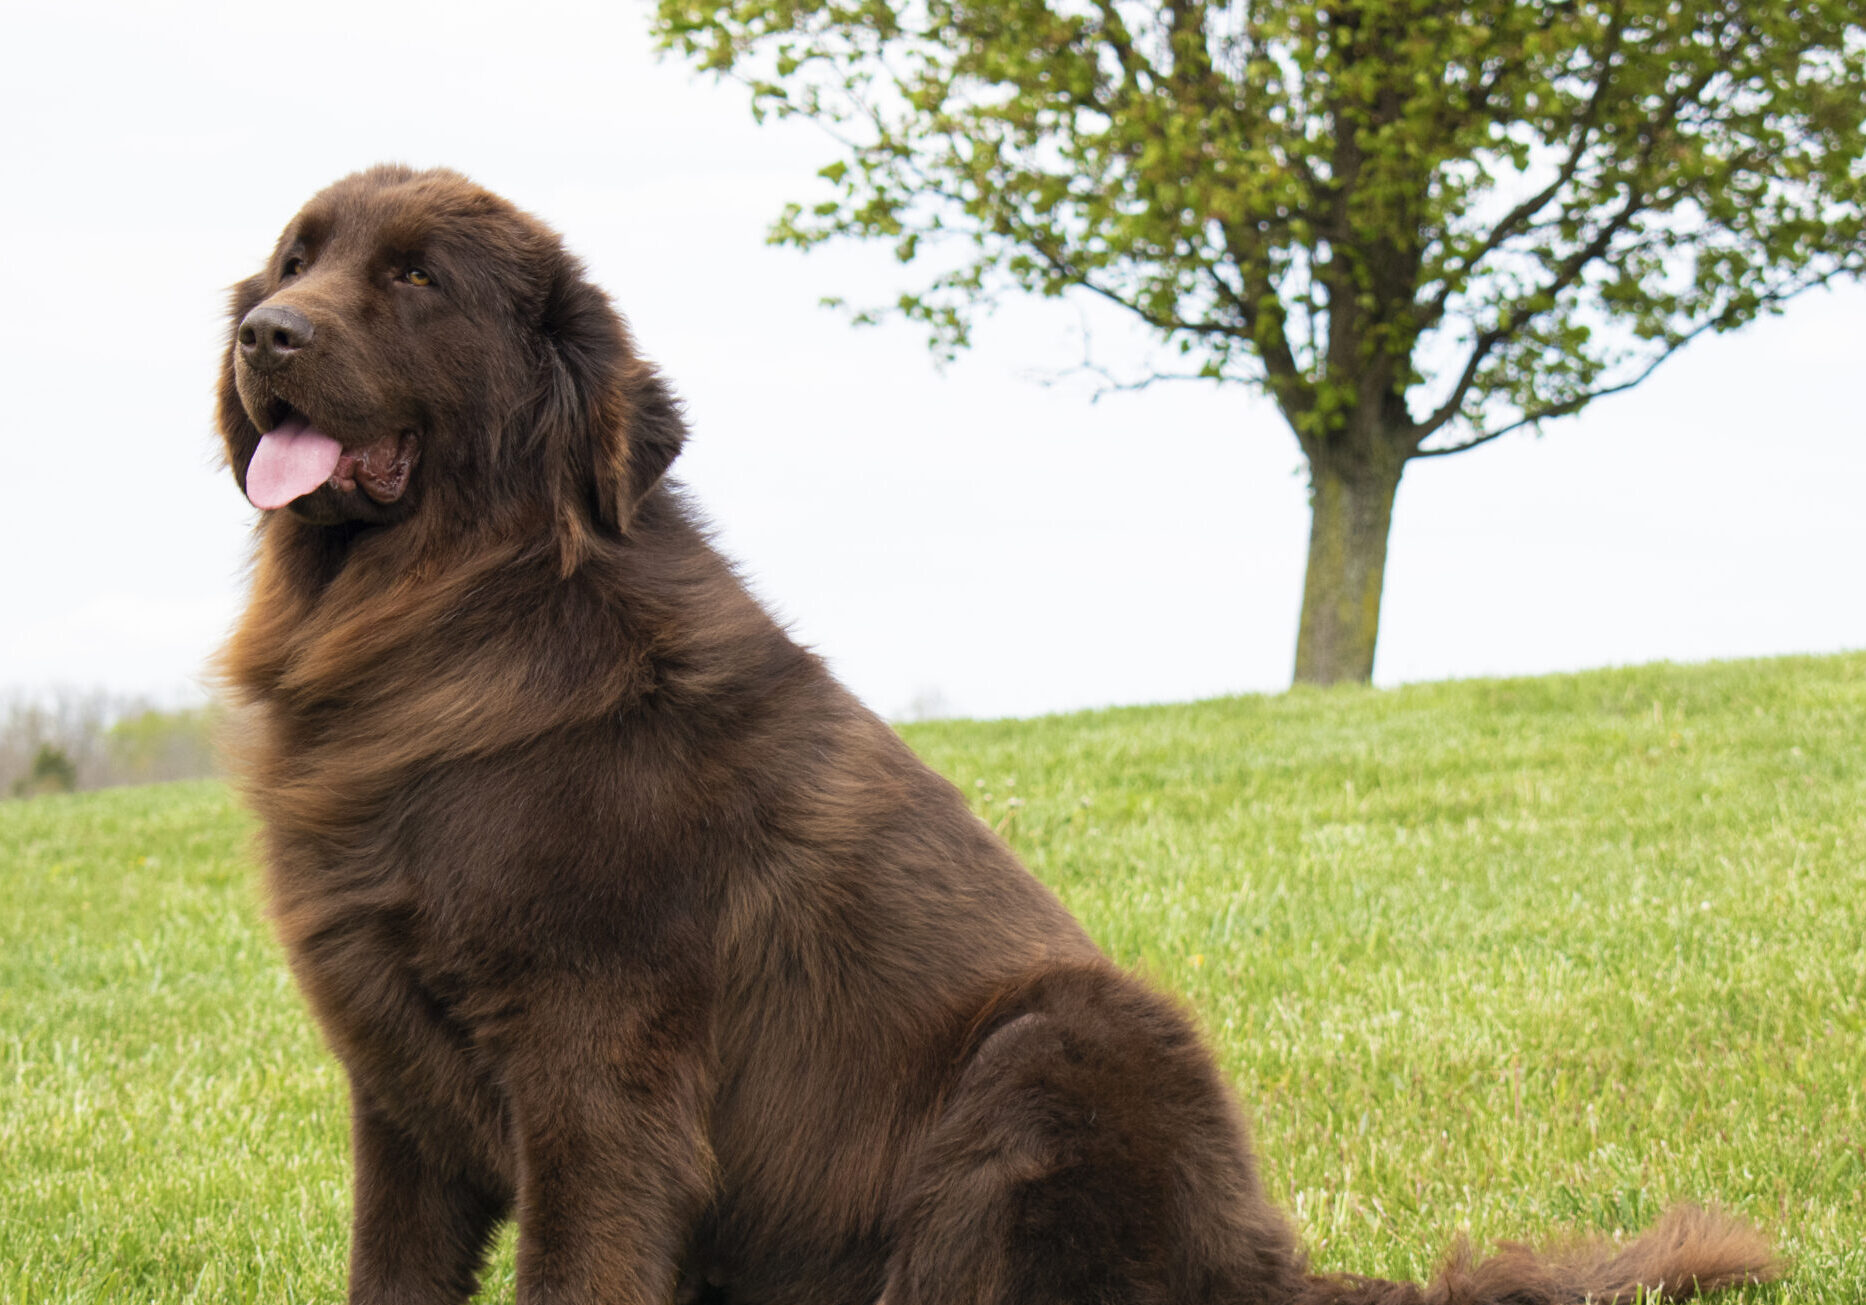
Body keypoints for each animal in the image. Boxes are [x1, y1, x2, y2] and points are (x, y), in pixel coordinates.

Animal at [218, 163, 1776, 1305]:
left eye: (415, 281)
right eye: (295, 258)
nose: (264, 334)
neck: (446, 619)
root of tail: (1259, 1260)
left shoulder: (597, 1067)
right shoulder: (398, 1092)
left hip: (1063, 1037)